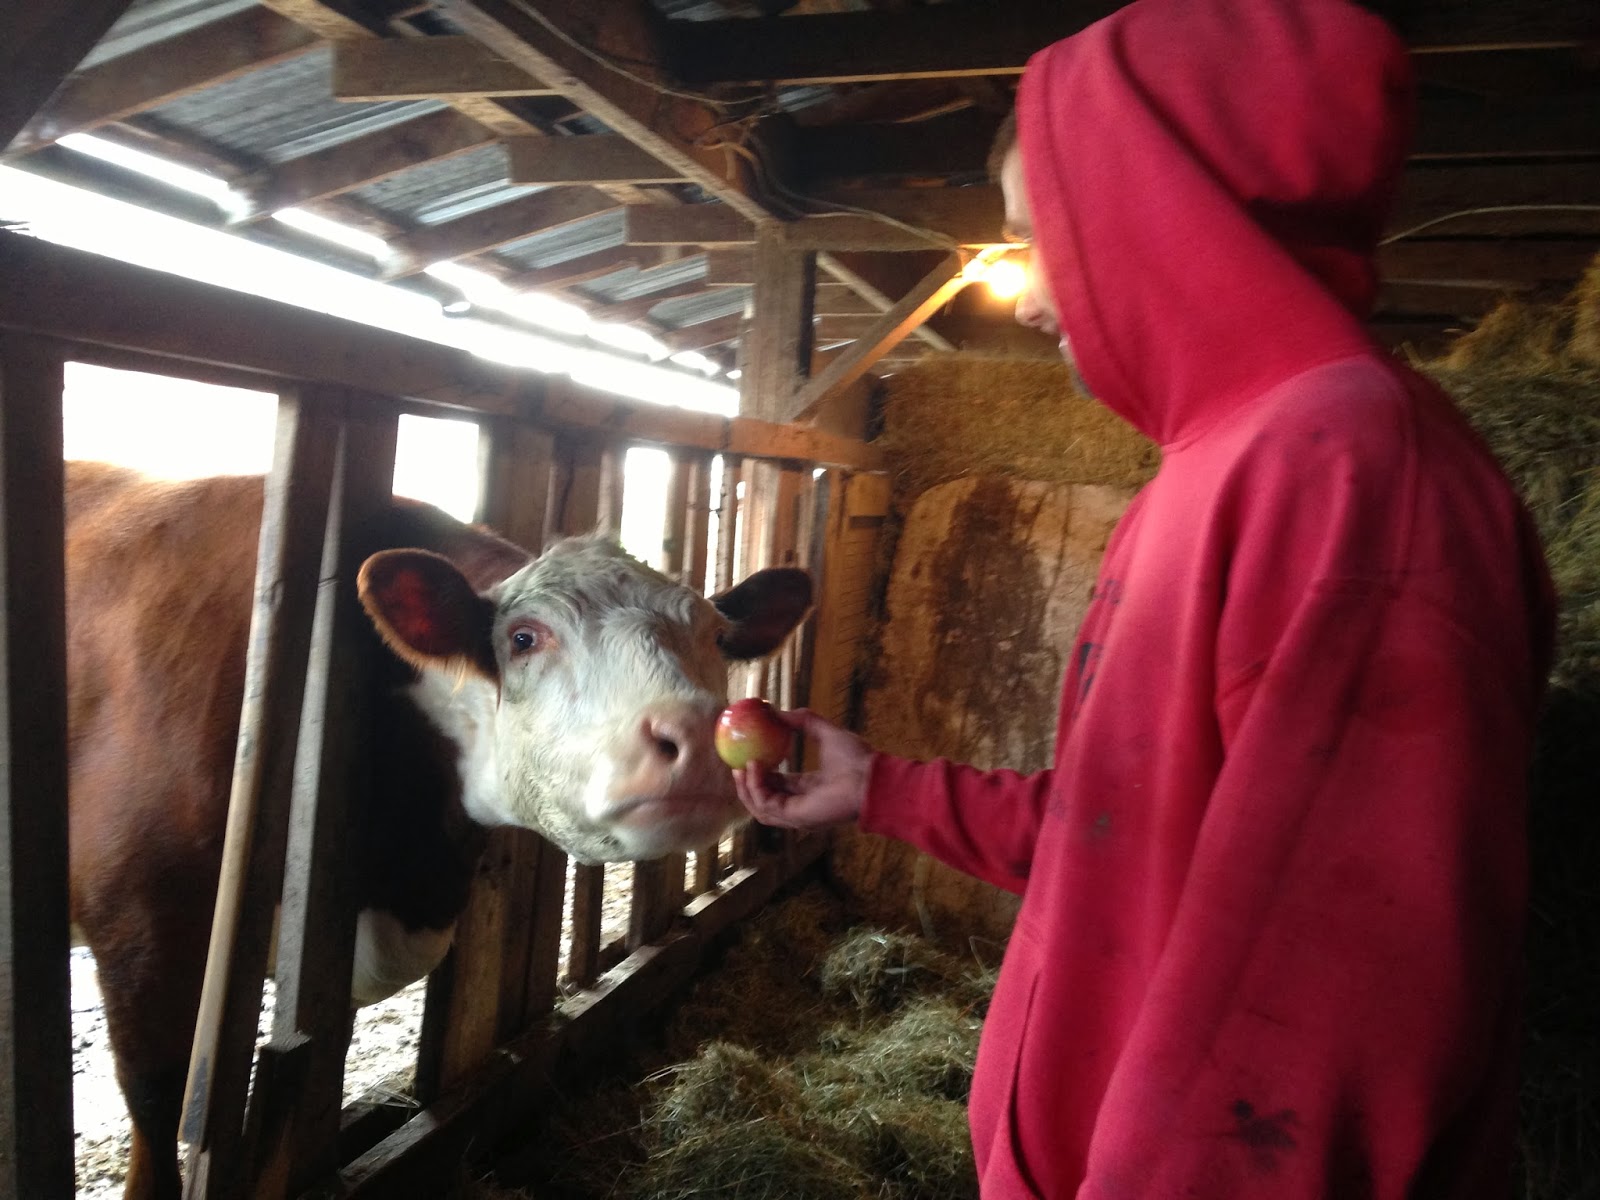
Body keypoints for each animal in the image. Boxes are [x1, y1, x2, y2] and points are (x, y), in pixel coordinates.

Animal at [63, 460, 812, 1200]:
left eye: (717, 638)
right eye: (523, 637)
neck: (401, 871)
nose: (701, 737)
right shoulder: (142, 923)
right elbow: (158, 1107)